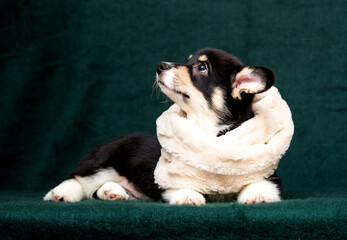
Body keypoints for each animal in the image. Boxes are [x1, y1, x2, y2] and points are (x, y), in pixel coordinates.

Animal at [44, 48, 282, 204]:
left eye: (201, 67)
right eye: (188, 60)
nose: (160, 66)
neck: (207, 129)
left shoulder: (269, 174)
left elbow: (263, 183)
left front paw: (258, 194)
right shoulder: (169, 177)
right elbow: (179, 185)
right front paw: (189, 195)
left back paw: (113, 192)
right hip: (103, 161)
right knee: (79, 178)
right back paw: (59, 193)